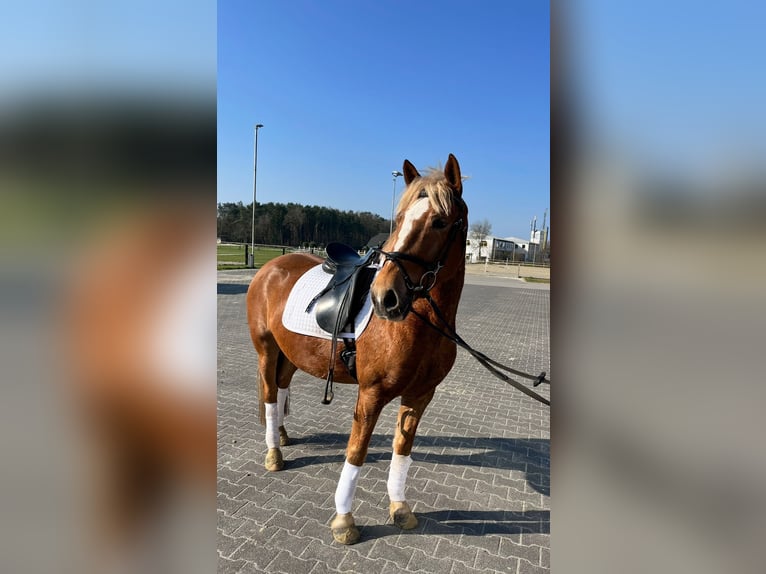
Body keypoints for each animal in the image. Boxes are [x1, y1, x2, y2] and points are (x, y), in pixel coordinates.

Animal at [246, 154, 468, 545]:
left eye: (440, 222)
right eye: (399, 218)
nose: (385, 298)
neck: (418, 324)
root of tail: (270, 267)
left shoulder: (420, 395)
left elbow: (401, 450)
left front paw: (400, 508)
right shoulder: (371, 394)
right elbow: (357, 451)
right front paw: (344, 520)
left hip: (291, 353)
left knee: (282, 385)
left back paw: (282, 436)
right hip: (266, 350)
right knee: (271, 395)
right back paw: (273, 452)